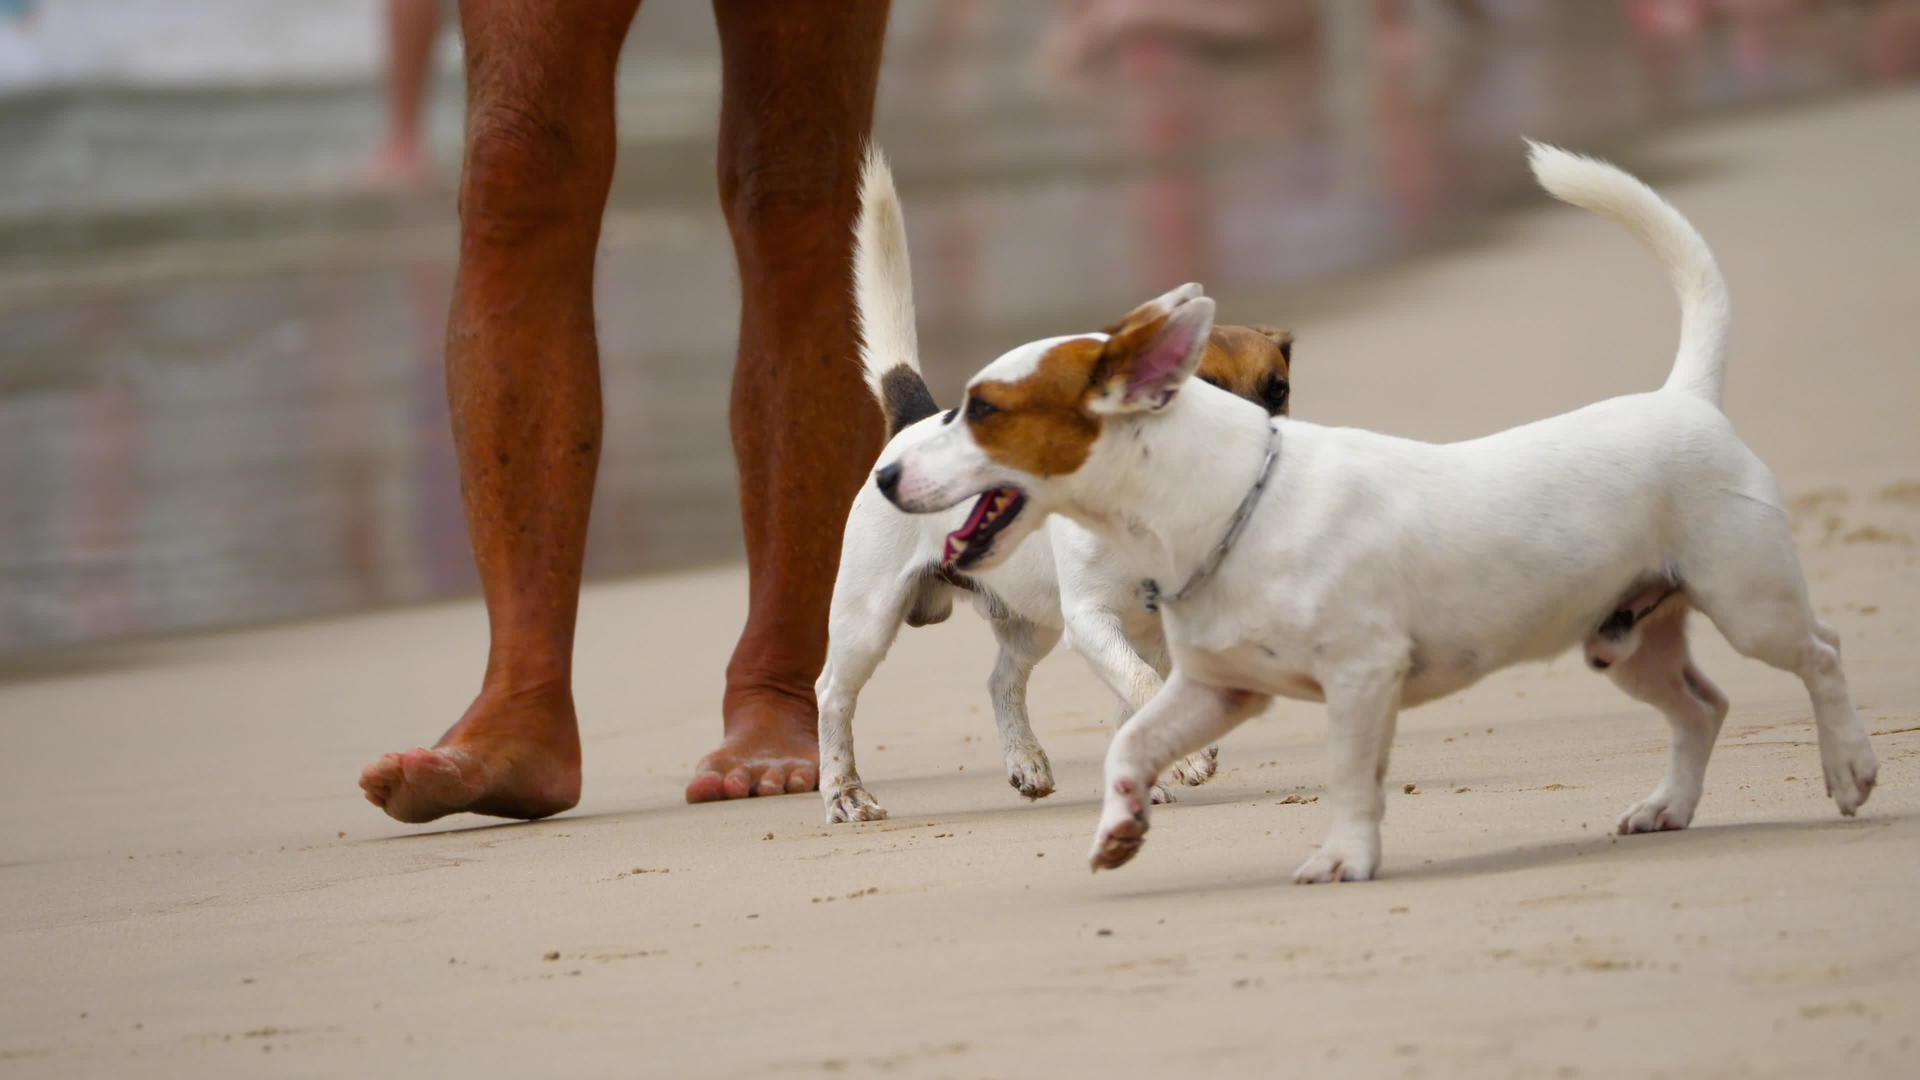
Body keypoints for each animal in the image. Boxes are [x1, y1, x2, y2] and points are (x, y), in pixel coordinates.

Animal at [879, 143, 1881, 880]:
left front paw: (1342, 856)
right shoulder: (1206, 682)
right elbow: (1134, 732)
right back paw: (1670, 806)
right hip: (1627, 637)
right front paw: (1127, 818)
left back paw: (1848, 767)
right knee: (1701, 708)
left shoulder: (1361, 678)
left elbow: (1347, 777)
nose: (887, 474)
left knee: (1822, 654)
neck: (1230, 508)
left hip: (1749, 603)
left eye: (982, 409)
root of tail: (1683, 398)